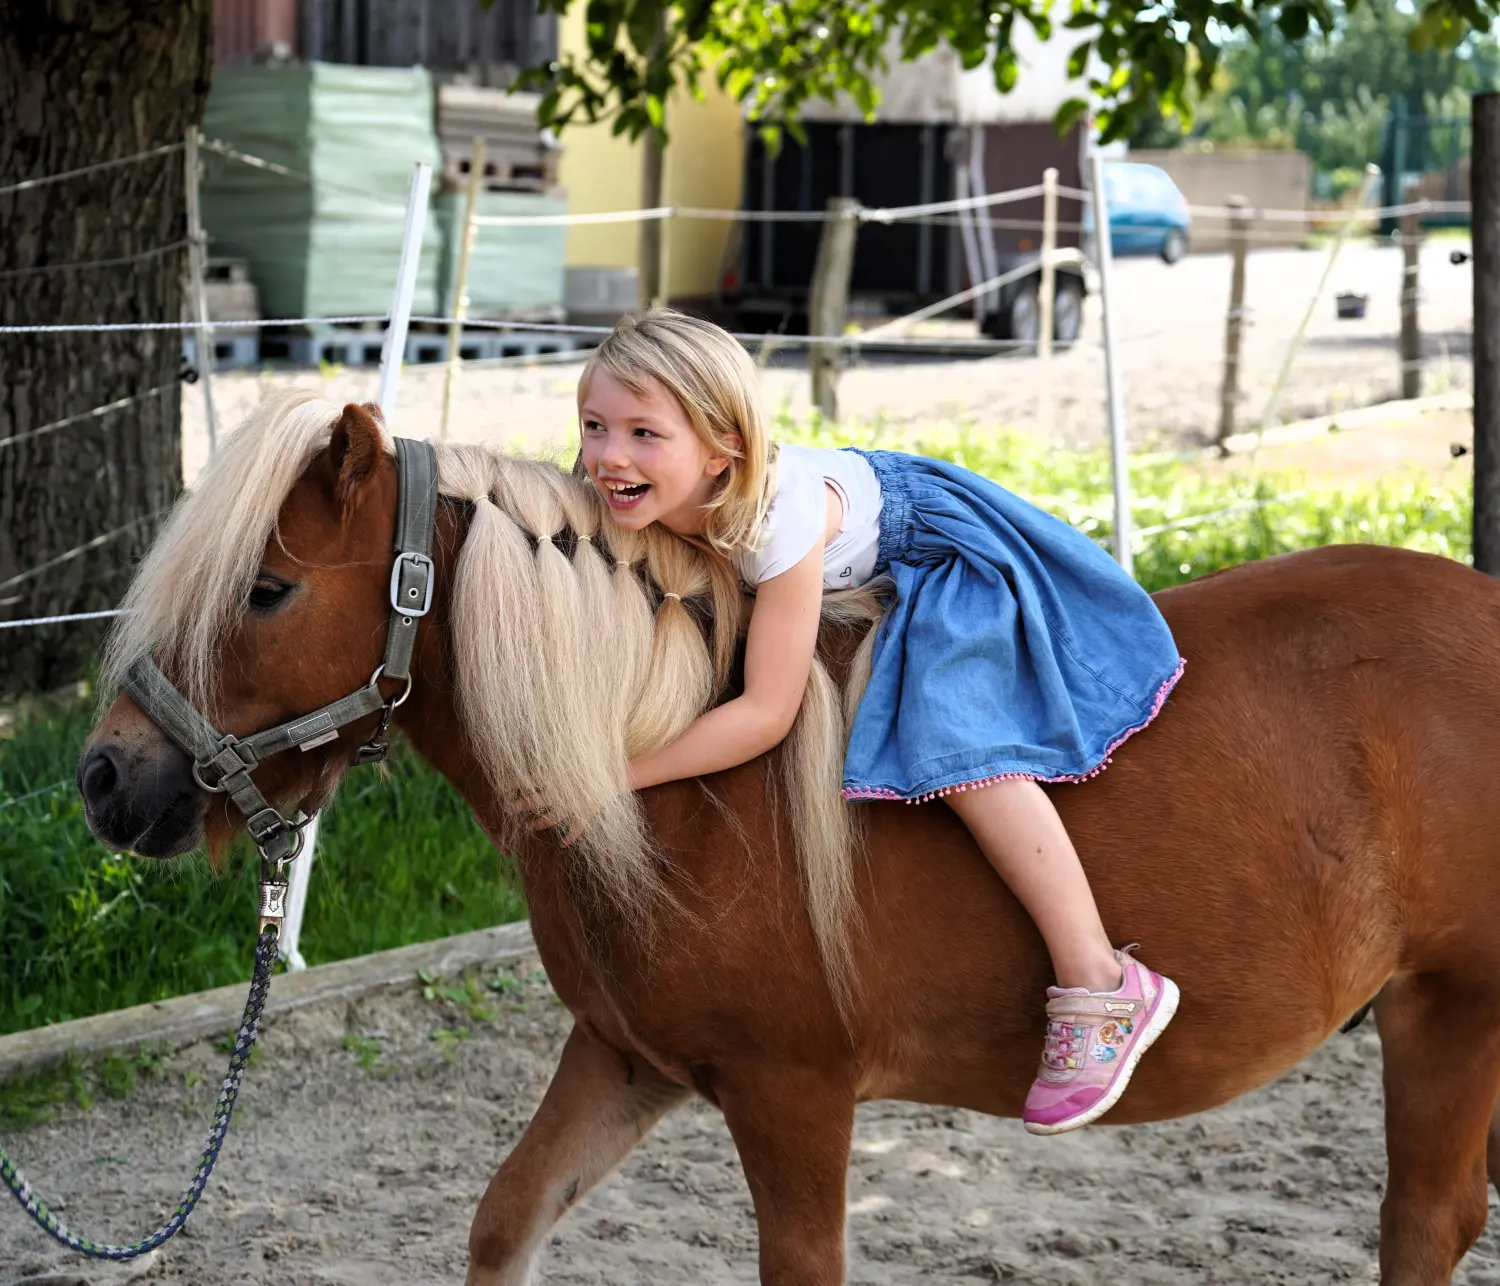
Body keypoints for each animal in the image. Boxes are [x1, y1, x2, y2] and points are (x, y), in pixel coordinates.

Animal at [82, 393, 1500, 1284]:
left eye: (268, 588)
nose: (106, 781)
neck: (674, 791)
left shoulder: (795, 1097)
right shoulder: (623, 1059)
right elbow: (504, 1221)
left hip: (1451, 1009)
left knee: (1422, 1224)